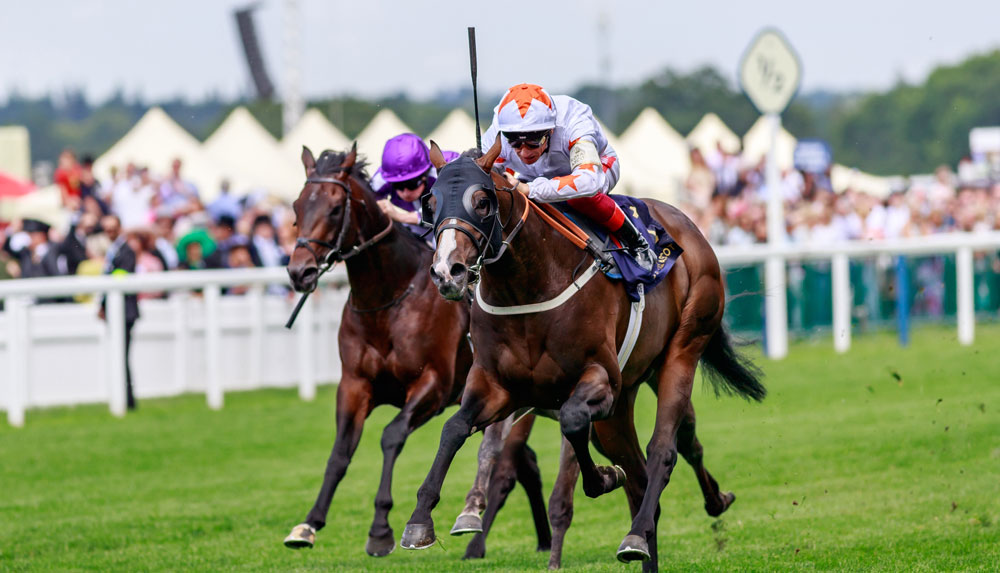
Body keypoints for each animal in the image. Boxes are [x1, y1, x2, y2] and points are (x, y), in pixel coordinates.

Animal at [282, 145, 552, 556]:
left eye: (334, 208)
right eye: (297, 206)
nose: (300, 272)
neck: (388, 301)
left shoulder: (433, 387)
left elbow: (391, 436)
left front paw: (381, 529)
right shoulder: (354, 385)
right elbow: (340, 452)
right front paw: (309, 524)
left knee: (507, 467)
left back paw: (478, 536)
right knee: (528, 465)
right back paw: (541, 539)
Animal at [394, 141, 760, 568]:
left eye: (482, 201)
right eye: (430, 203)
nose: (446, 272)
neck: (529, 286)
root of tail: (689, 225)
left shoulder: (596, 379)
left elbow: (571, 425)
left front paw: (603, 478)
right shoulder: (500, 387)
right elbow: (454, 430)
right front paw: (421, 520)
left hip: (684, 346)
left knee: (664, 449)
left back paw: (648, 527)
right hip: (622, 401)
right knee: (647, 470)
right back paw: (664, 527)